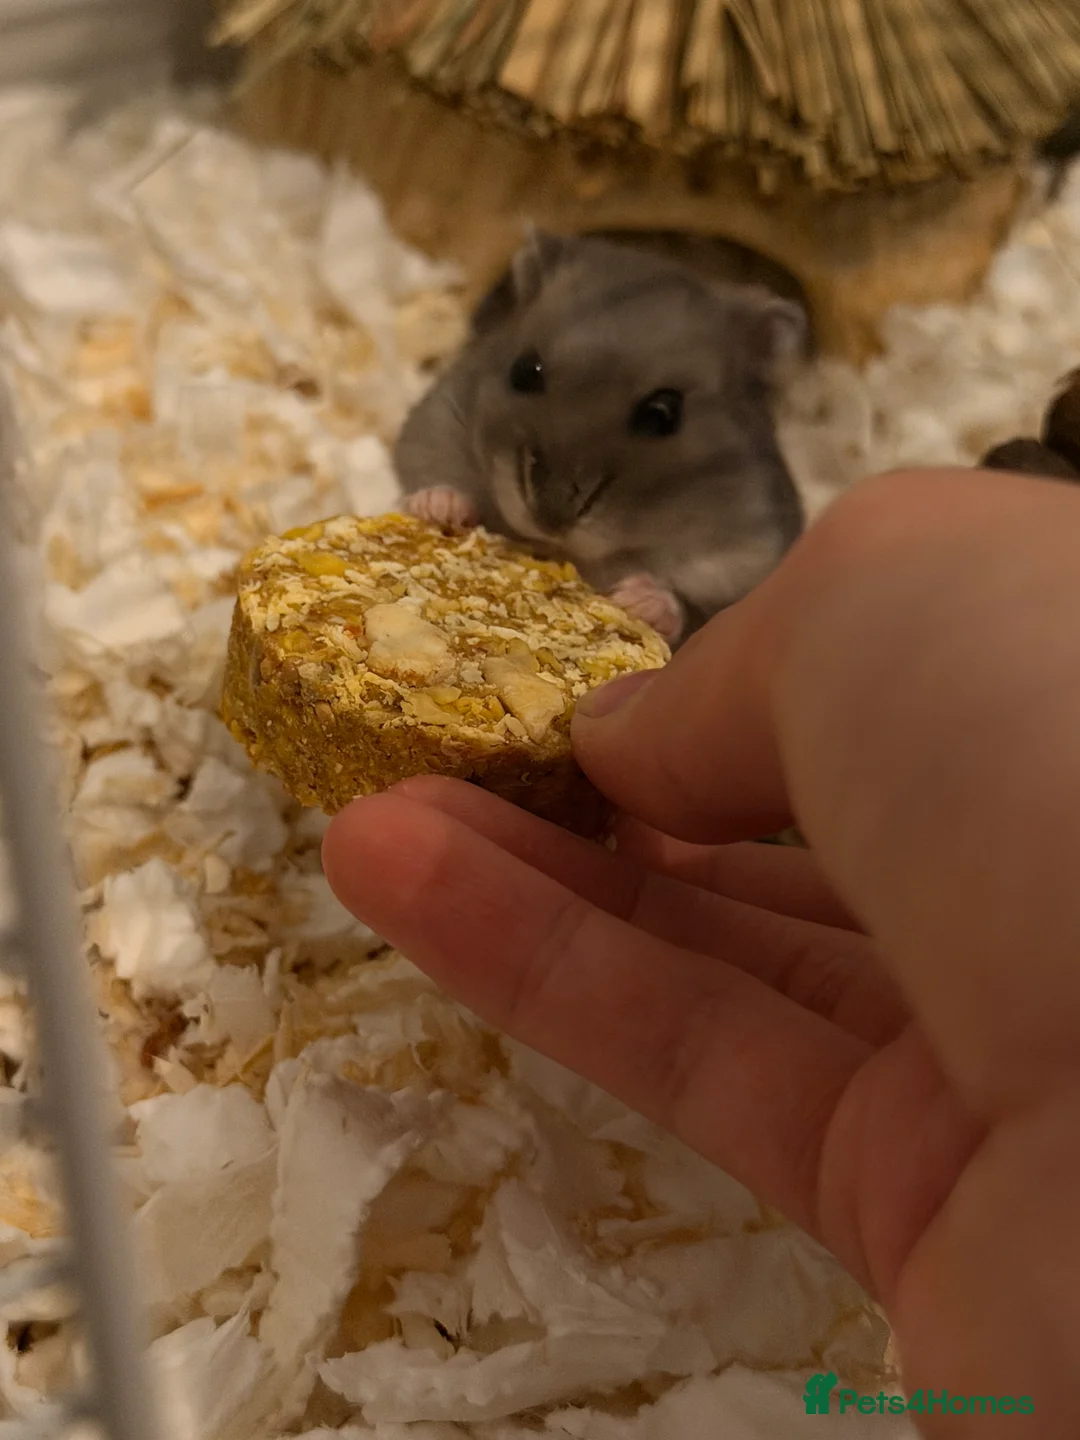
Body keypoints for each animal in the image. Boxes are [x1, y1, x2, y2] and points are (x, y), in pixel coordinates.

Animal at [393, 230, 807, 645]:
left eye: (663, 413)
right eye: (524, 370)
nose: (550, 519)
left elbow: (691, 610)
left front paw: (639, 599)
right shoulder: (438, 420)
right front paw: (440, 506)